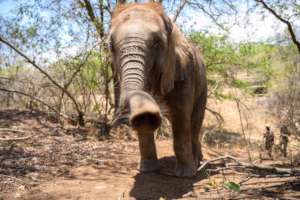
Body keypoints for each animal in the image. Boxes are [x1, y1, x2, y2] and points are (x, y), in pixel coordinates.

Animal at [109, 2, 207, 177]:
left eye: (156, 43)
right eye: (111, 46)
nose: (120, 119)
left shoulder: (184, 70)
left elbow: (181, 116)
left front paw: (184, 175)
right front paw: (147, 170)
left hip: (203, 87)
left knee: (194, 122)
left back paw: (198, 163)